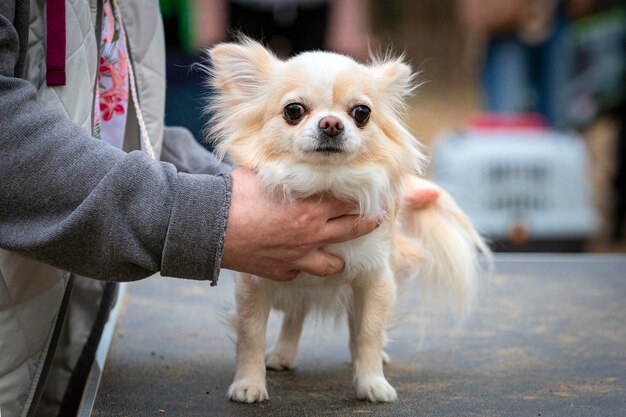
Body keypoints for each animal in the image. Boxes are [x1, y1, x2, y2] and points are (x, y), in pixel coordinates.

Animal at [206, 39, 488, 404]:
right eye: (293, 111)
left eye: (361, 113)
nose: (331, 124)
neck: (325, 184)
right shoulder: (255, 283)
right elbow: (250, 335)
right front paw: (248, 384)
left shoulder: (374, 279)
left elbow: (368, 332)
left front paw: (372, 382)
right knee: (295, 316)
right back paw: (283, 354)